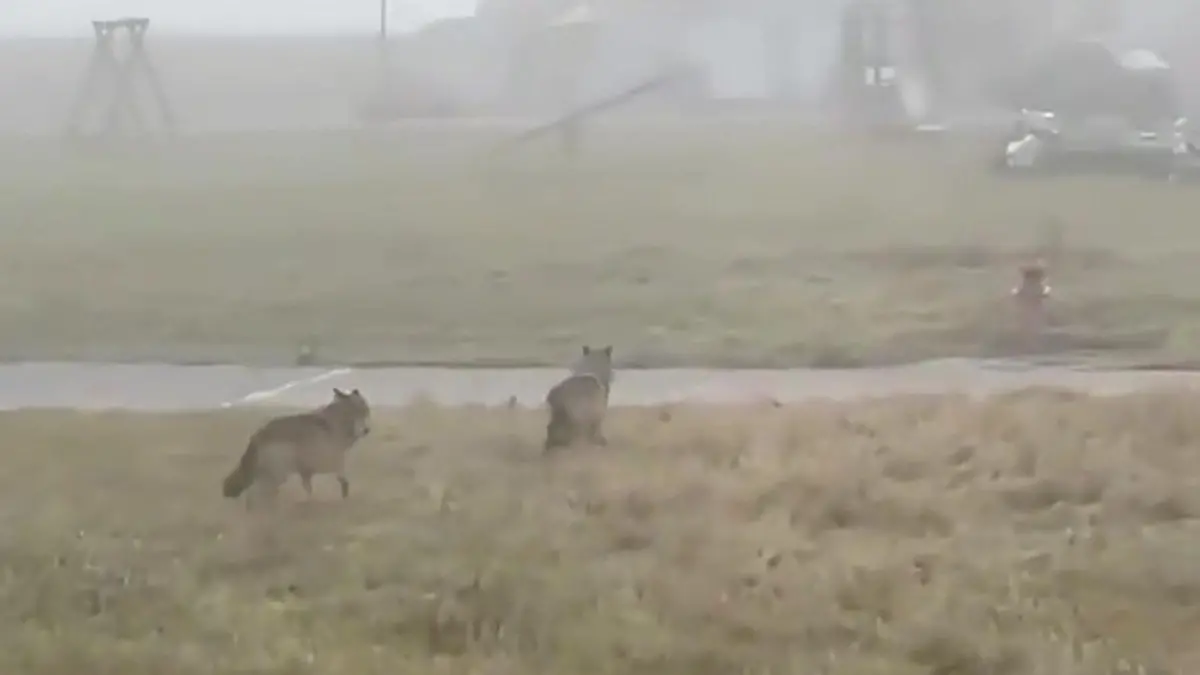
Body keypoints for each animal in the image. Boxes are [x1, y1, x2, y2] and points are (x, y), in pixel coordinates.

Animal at [222, 388, 372, 510]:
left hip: (270, 474)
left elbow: (309, 489)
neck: (334, 424)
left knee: (258, 495)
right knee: (255, 494)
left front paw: (309, 503)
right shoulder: (331, 461)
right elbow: (342, 479)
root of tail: (258, 435)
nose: (366, 431)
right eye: (355, 413)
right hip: (278, 474)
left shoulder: (305, 471)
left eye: (365, 412)